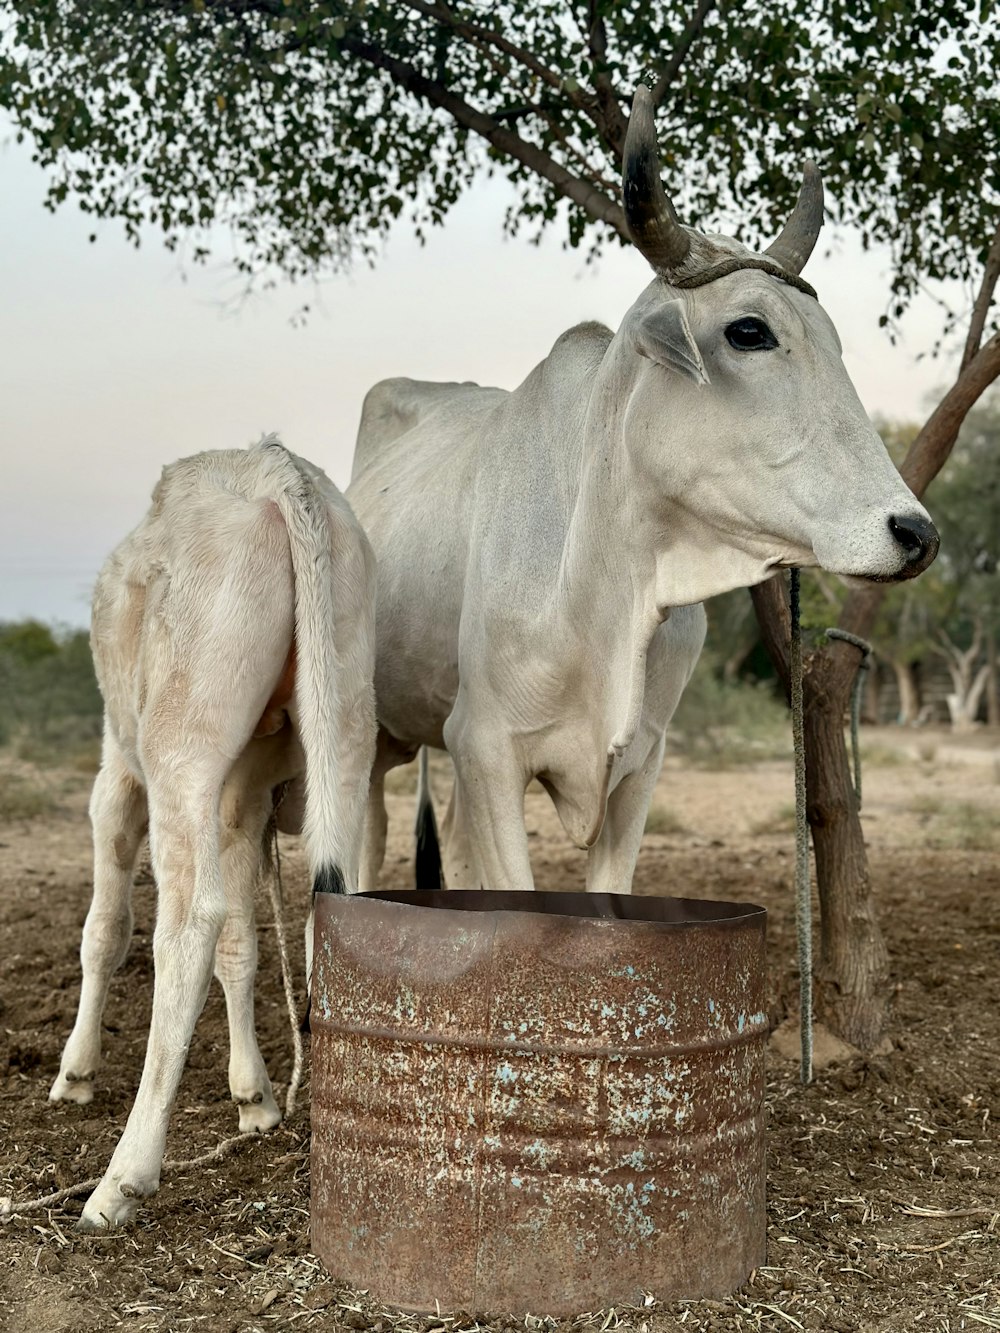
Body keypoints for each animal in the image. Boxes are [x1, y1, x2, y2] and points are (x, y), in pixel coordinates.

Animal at [49, 437, 376, 1226]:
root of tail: (278, 472)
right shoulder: (245, 794)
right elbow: (241, 944)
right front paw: (255, 1096)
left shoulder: (117, 771)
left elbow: (106, 927)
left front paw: (75, 1072)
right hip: (349, 729)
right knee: (332, 908)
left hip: (179, 748)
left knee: (185, 928)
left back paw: (122, 1178)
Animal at [349, 85, 938, 895]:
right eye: (748, 330)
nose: (915, 534)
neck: (602, 585)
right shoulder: (486, 748)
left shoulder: (641, 766)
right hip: (372, 735)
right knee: (360, 842)